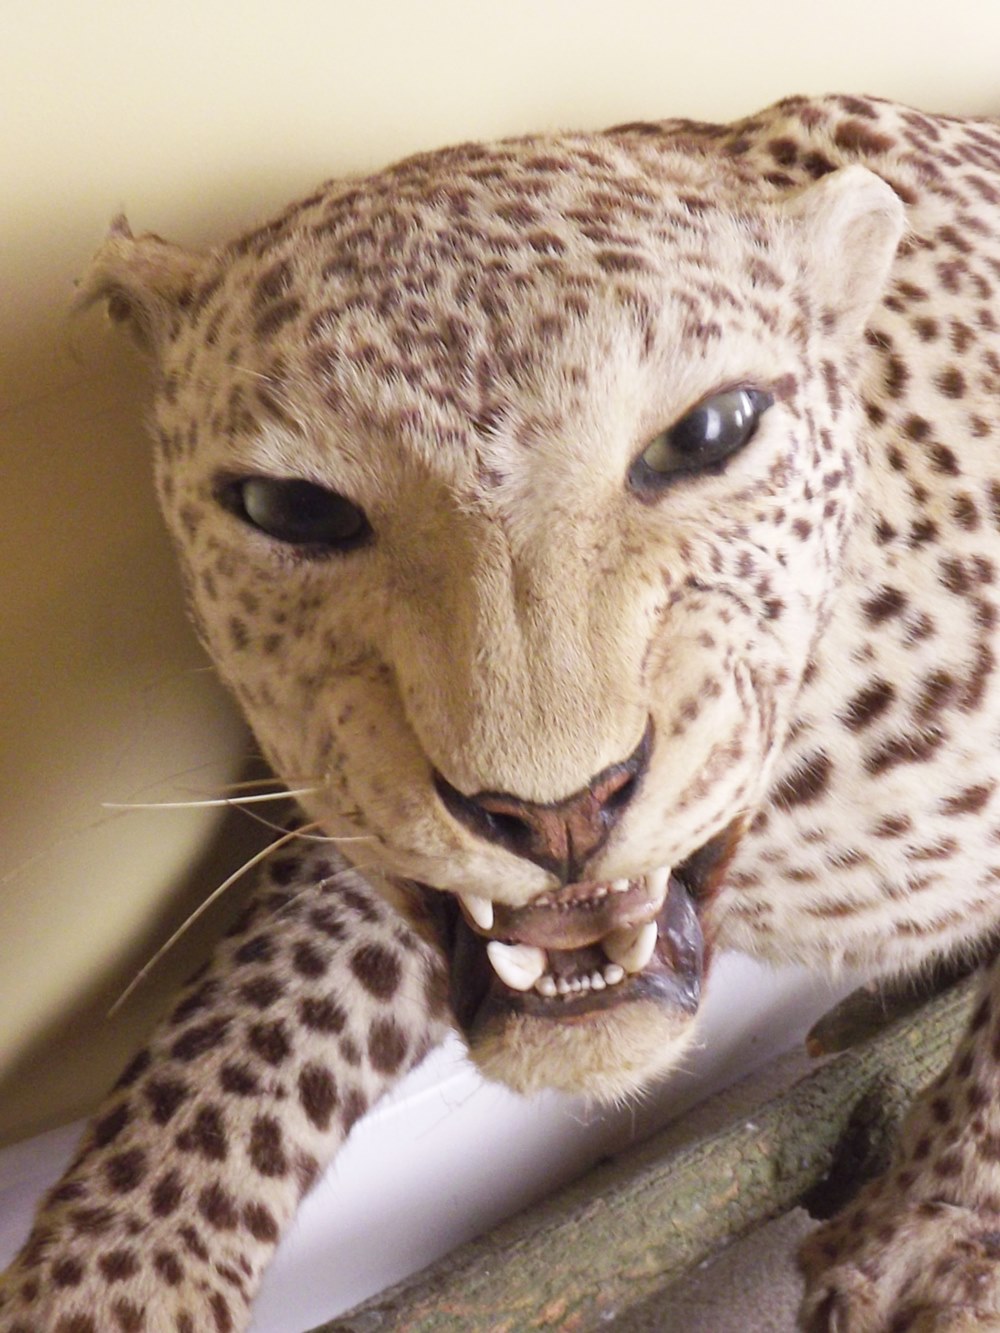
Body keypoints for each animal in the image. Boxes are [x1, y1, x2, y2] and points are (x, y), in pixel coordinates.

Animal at [3, 90, 1000, 1332]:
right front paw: (105, 1287)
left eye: (712, 432)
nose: (559, 810)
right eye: (288, 508)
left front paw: (933, 1233)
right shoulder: (360, 810)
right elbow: (236, 1035)